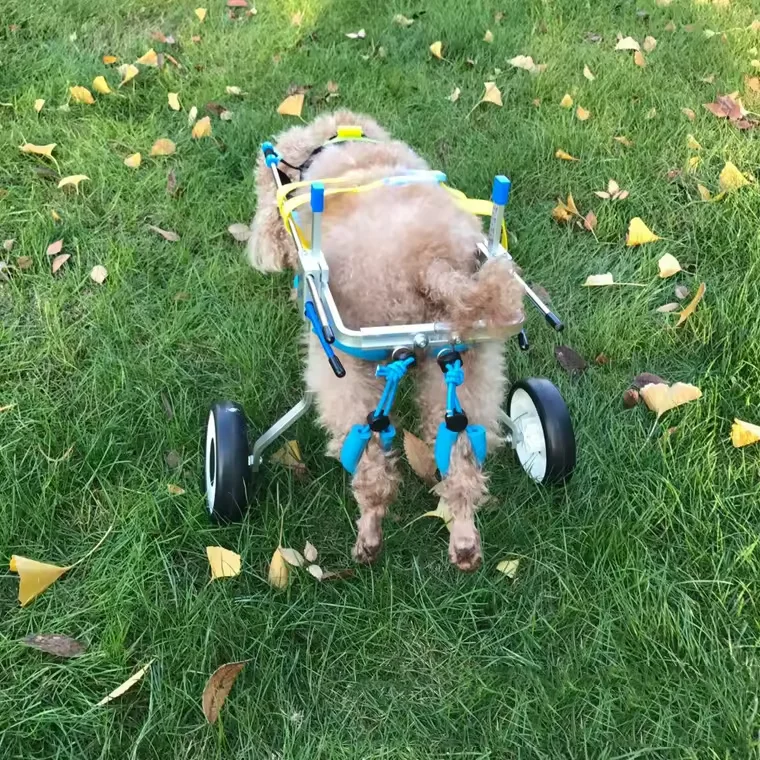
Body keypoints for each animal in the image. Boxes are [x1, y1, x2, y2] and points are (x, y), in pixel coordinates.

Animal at [248, 110, 524, 568]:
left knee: (372, 464)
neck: (336, 146)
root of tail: (432, 265)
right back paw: (464, 540)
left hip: (346, 371)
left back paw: (369, 534)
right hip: (469, 363)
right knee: (463, 458)